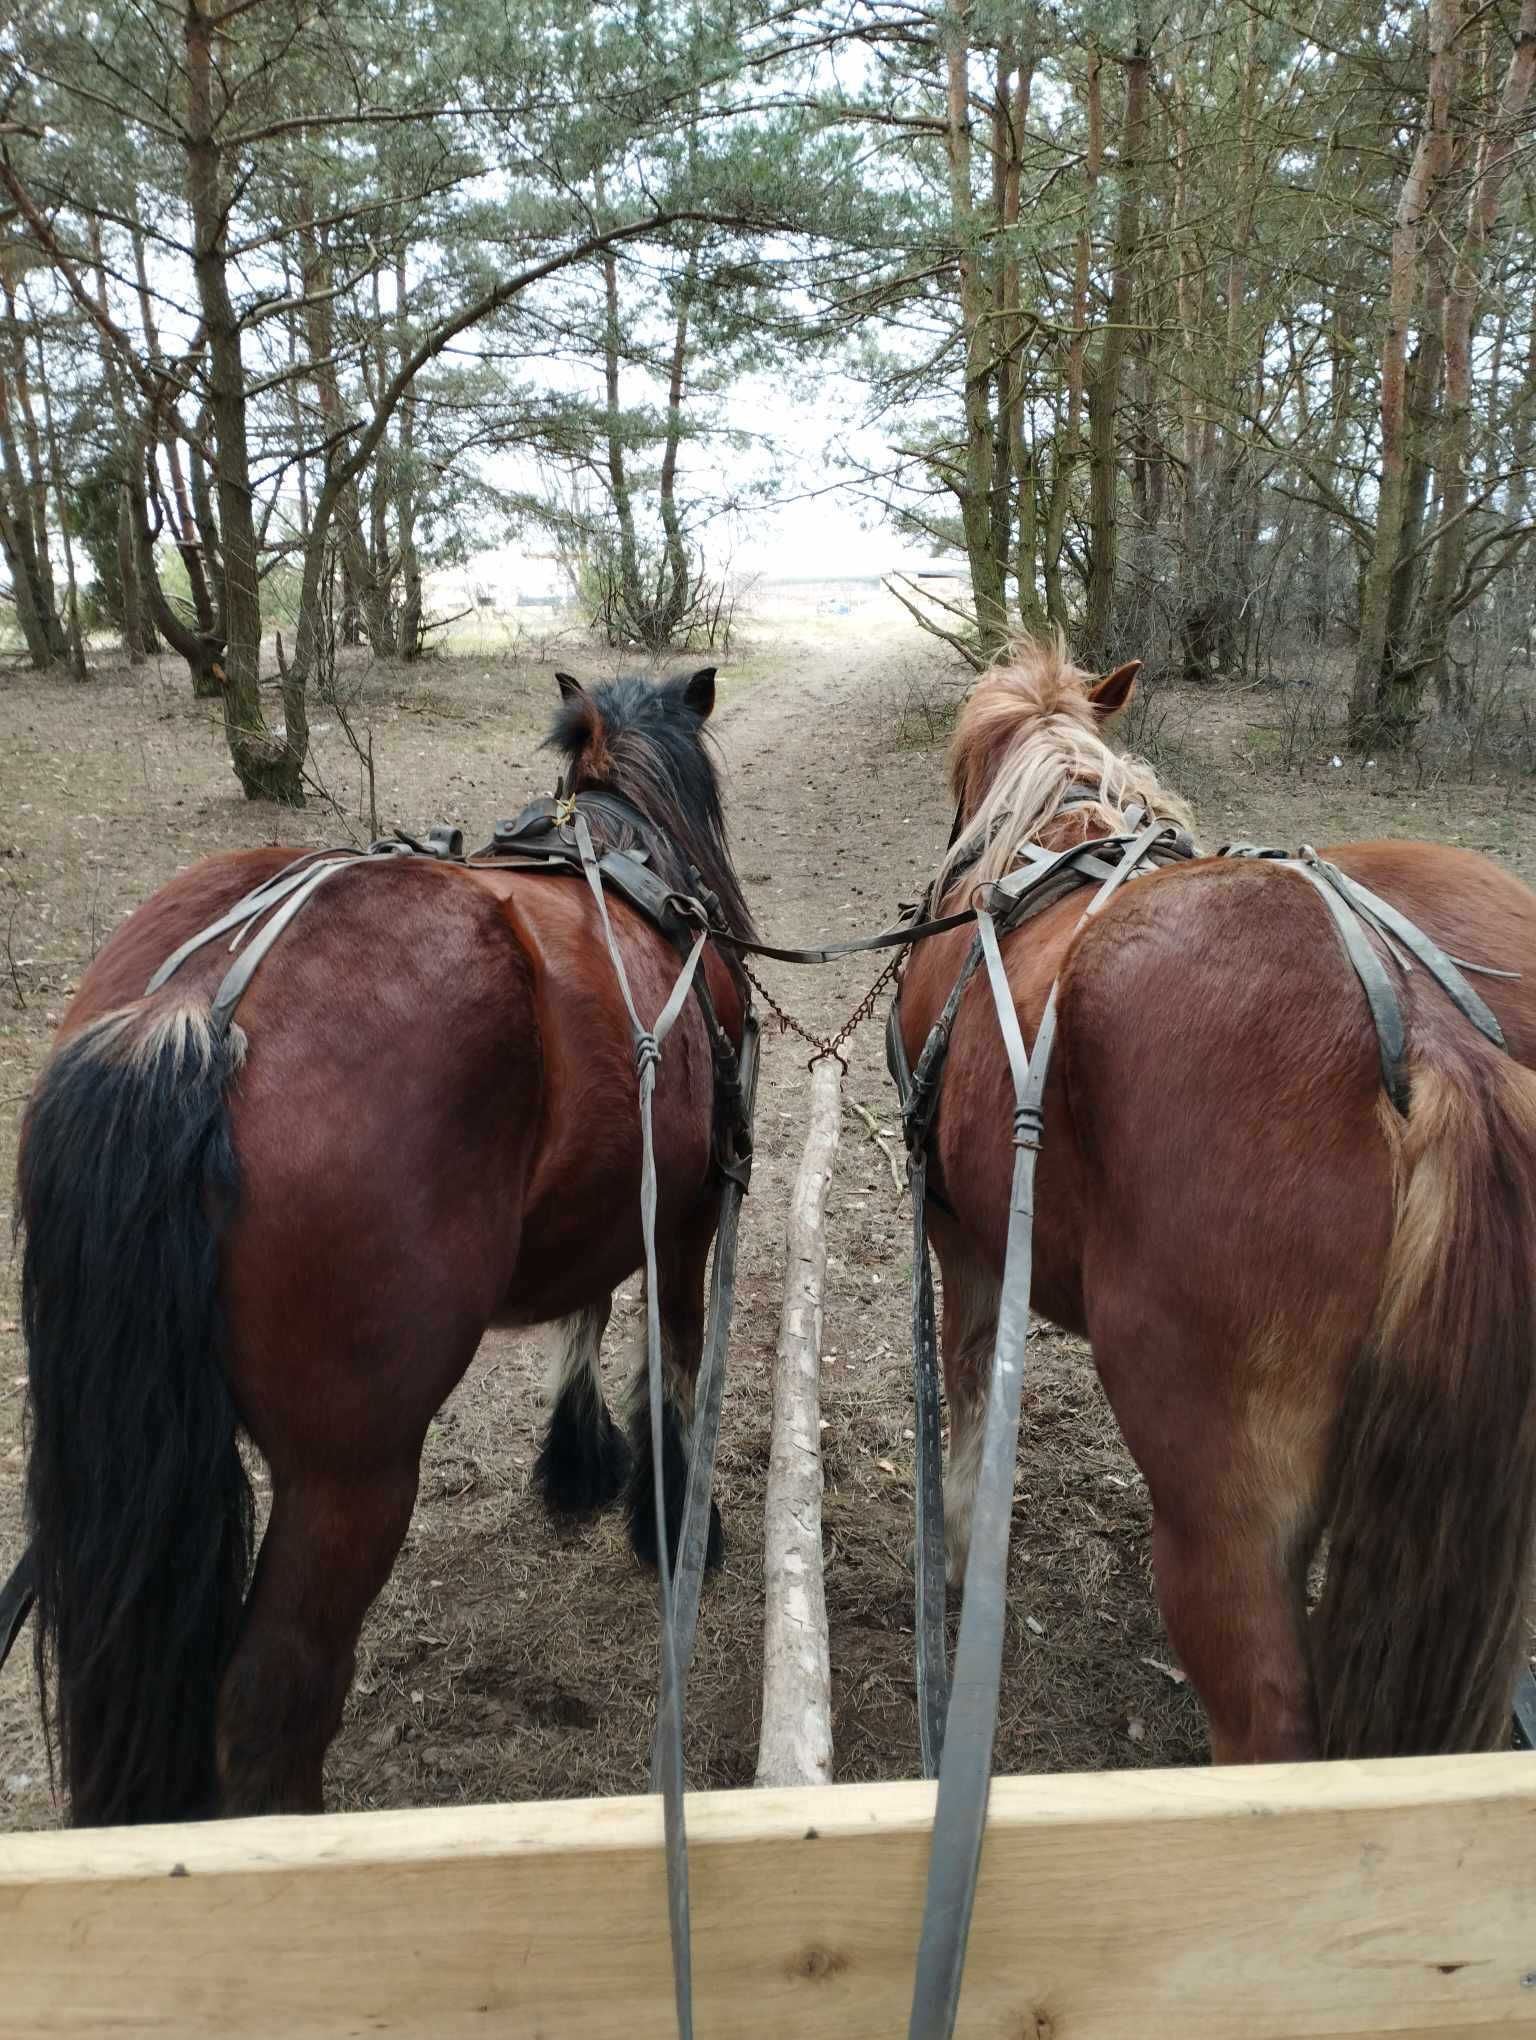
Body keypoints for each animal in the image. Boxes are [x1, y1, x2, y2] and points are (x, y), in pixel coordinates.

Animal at [14, 665, 750, 1819]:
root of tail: (196, 1009)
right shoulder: (687, 1209)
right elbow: (673, 1357)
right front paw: (671, 1521)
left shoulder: (607, 1189)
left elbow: (584, 1312)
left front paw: (576, 1462)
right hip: (351, 1474)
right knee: (271, 1699)